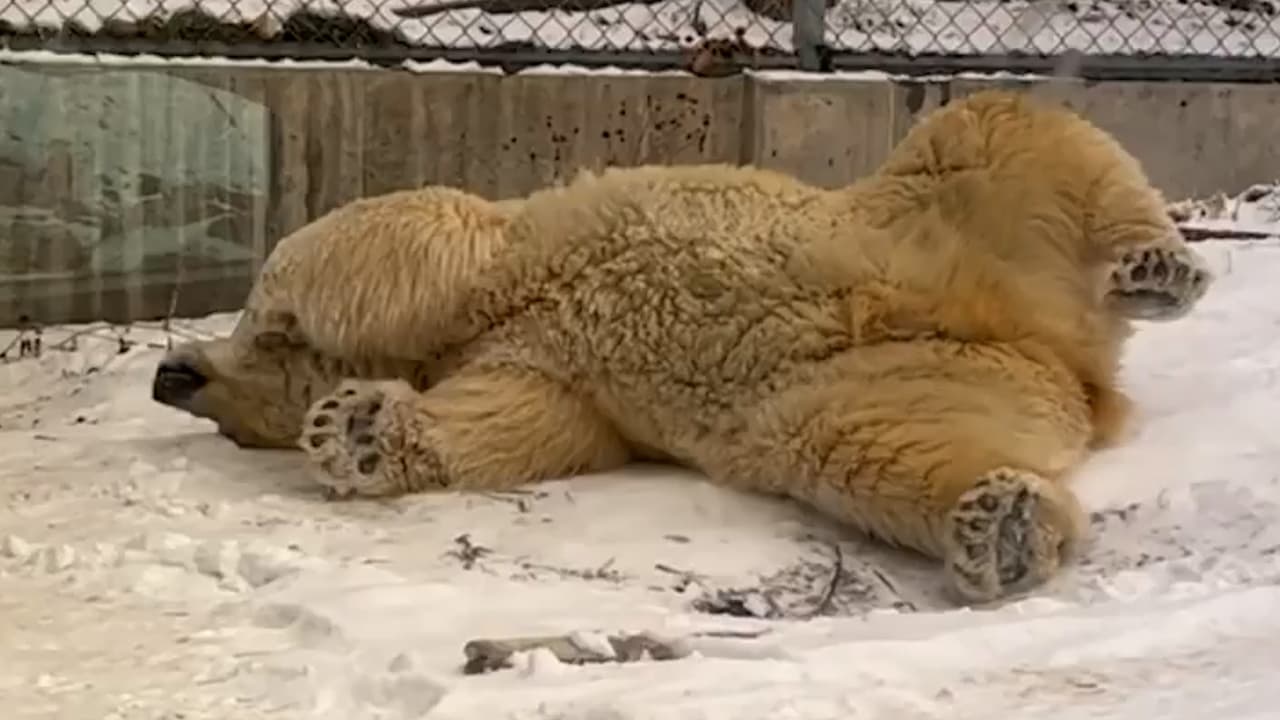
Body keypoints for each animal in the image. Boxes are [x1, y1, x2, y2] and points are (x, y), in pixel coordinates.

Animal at [152, 90, 1212, 604]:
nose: (172, 377)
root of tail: (1053, 343)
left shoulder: (485, 251)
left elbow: (379, 237)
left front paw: (275, 332)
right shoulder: (540, 365)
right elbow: (519, 420)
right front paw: (358, 428)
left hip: (931, 212)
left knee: (1002, 128)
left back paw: (1161, 266)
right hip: (895, 378)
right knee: (879, 445)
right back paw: (1001, 525)